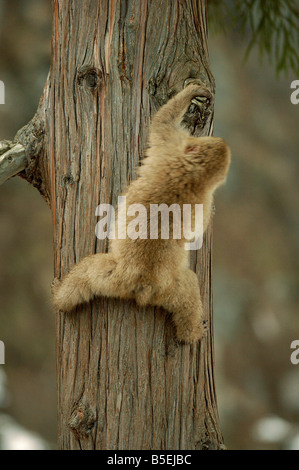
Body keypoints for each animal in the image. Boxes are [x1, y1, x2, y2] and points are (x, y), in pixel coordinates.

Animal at [52, 82, 232, 344]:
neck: (194, 172)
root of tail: (143, 286)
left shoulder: (171, 147)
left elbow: (162, 123)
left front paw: (191, 93)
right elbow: (163, 122)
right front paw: (194, 93)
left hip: (120, 277)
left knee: (86, 273)